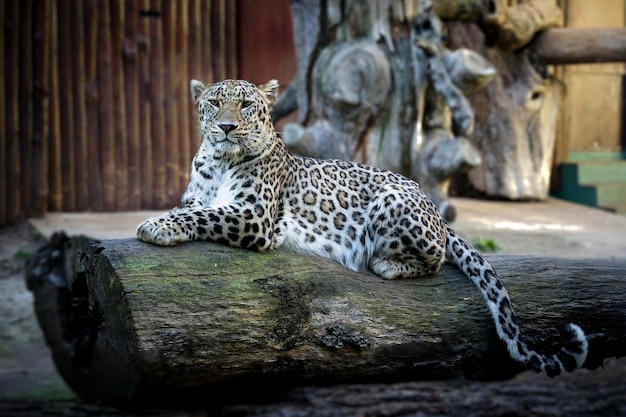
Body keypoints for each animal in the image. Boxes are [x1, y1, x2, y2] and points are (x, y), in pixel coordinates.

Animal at [135, 78, 584, 376]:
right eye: (214, 104)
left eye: (245, 105)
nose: (226, 128)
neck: (220, 161)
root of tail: (434, 209)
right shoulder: (201, 197)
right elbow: (195, 208)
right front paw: (163, 220)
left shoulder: (256, 216)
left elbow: (203, 216)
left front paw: (156, 226)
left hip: (392, 200)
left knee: (436, 257)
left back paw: (387, 264)